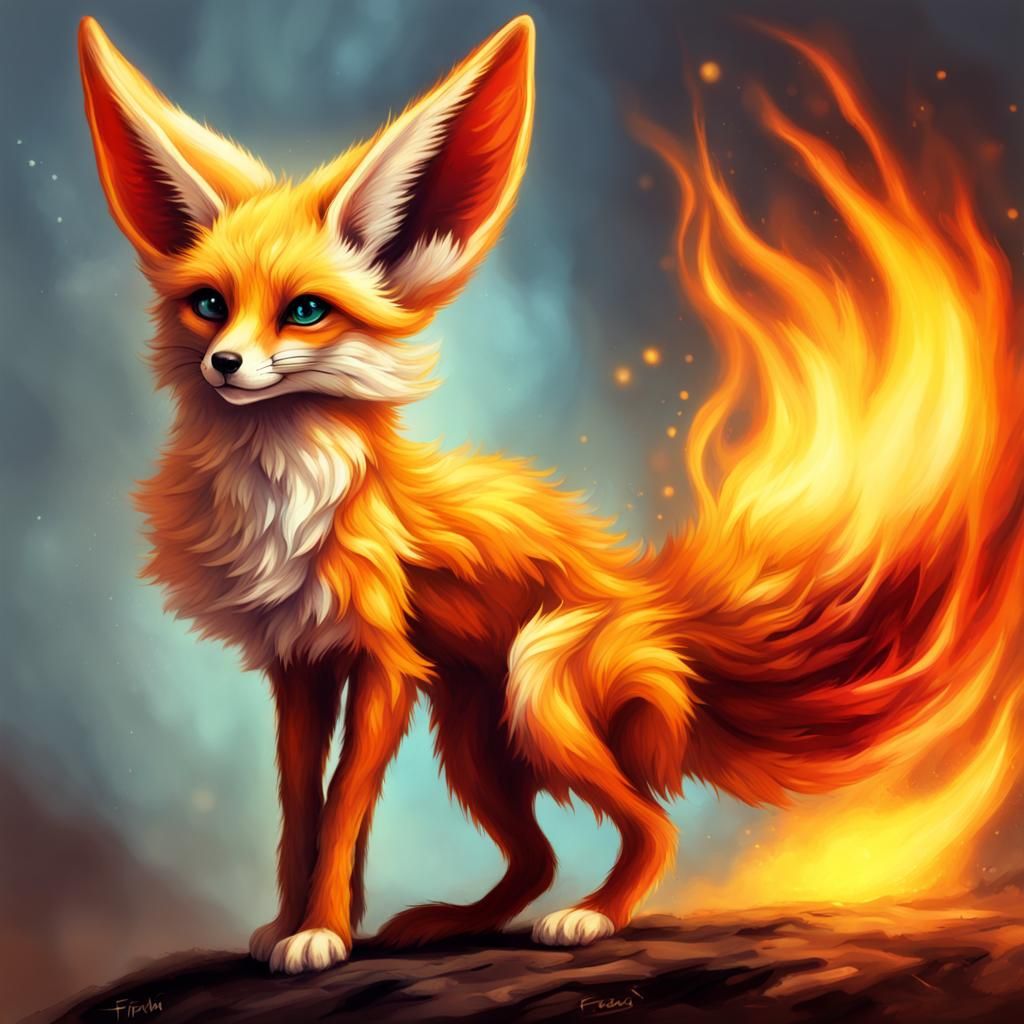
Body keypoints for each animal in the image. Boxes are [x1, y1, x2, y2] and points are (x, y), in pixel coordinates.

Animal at [78, 12, 1023, 976]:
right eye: (207, 304)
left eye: (305, 312)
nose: (225, 364)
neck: (287, 500)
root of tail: (647, 598)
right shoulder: (300, 668)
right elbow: (301, 807)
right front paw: (289, 923)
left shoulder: (382, 663)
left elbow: (343, 808)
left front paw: (322, 931)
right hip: (476, 739)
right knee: (537, 856)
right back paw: (455, 921)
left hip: (537, 686)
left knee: (652, 830)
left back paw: (593, 917)